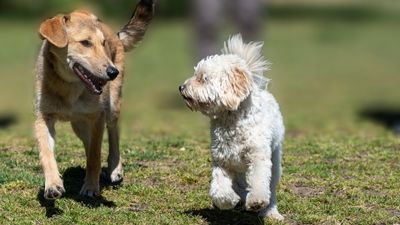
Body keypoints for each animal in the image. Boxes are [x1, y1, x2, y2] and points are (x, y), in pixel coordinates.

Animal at [35, 0, 154, 200]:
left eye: (103, 43)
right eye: (85, 42)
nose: (113, 72)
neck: (69, 87)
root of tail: (115, 33)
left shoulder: (97, 117)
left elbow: (95, 156)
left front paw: (91, 187)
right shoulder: (44, 118)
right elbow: (47, 154)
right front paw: (52, 185)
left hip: (112, 107)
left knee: (113, 133)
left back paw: (115, 169)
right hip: (79, 124)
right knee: (88, 142)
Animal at [178, 34, 284, 220]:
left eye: (203, 78)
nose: (181, 87)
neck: (231, 120)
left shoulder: (258, 156)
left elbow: (259, 181)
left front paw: (256, 201)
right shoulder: (222, 160)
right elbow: (219, 190)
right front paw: (230, 200)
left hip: (275, 159)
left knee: (270, 187)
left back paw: (271, 212)